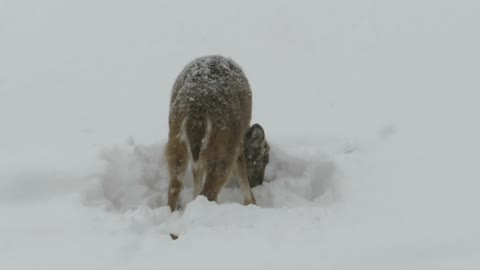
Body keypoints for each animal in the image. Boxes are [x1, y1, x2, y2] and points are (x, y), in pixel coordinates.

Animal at [167, 54, 268, 212]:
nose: (258, 183)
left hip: (175, 141)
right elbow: (241, 170)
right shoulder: (236, 143)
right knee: (209, 191)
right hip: (222, 149)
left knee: (175, 185)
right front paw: (252, 203)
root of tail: (196, 110)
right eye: (265, 159)